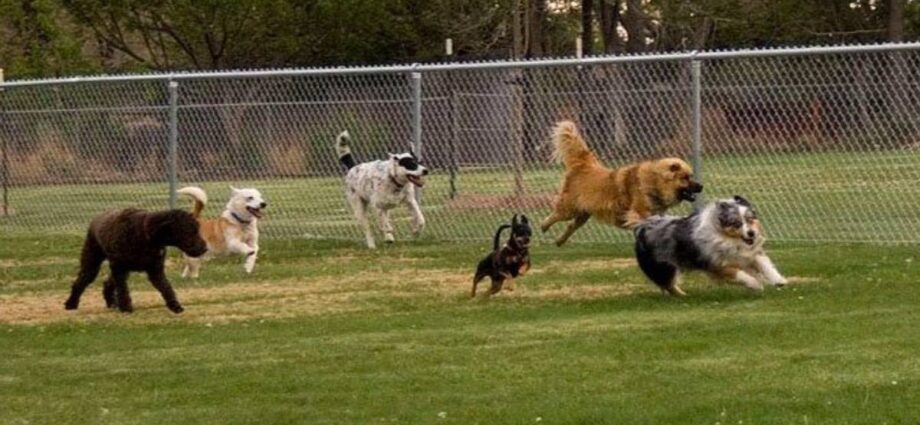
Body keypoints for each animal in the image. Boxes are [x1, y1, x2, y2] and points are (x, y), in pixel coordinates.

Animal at [540, 120, 704, 245]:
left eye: (691, 176)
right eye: (686, 178)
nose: (701, 186)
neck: (655, 181)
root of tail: (586, 165)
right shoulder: (639, 213)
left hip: (583, 214)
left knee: (570, 225)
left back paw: (559, 241)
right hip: (569, 209)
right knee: (555, 216)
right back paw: (543, 227)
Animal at [636, 195, 788, 294]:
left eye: (750, 219)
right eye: (737, 223)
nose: (751, 233)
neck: (728, 238)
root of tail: (642, 226)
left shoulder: (750, 254)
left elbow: (766, 265)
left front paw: (779, 280)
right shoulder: (717, 265)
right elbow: (740, 274)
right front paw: (756, 284)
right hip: (664, 267)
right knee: (668, 285)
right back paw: (684, 296)